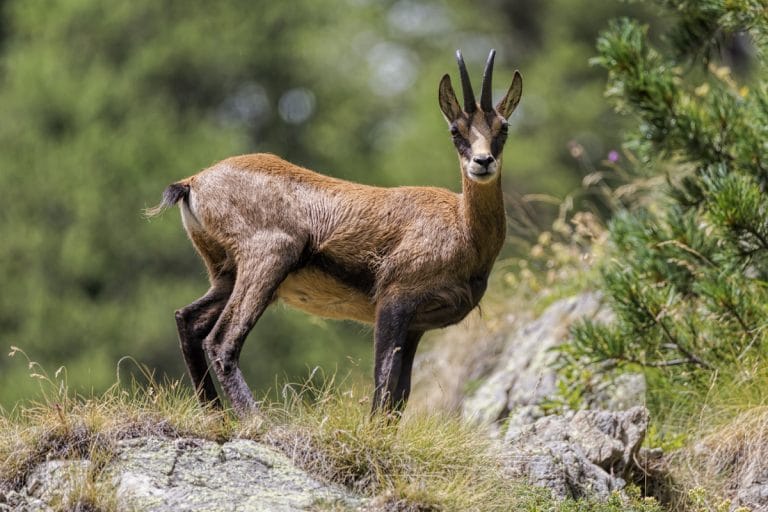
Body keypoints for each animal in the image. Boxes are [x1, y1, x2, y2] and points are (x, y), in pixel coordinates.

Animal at [148, 49, 522, 418]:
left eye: (503, 127)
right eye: (456, 130)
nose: (482, 162)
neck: (463, 227)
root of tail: (194, 182)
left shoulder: (416, 325)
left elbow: (399, 397)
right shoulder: (394, 301)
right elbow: (383, 385)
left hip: (227, 275)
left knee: (188, 321)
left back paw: (216, 415)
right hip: (268, 259)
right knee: (222, 341)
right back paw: (257, 421)